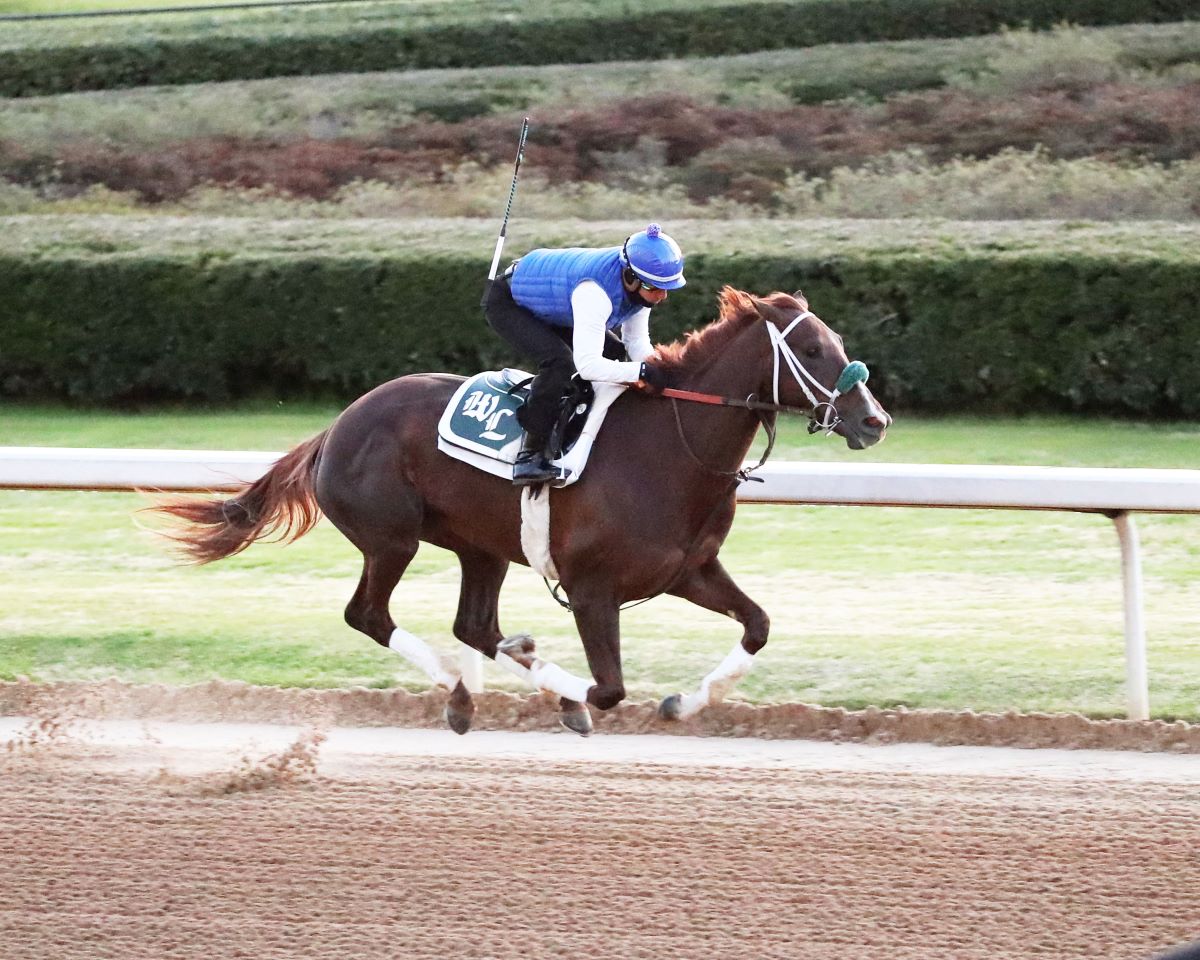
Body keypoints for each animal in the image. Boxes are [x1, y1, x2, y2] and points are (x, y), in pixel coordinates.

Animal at [154, 285, 892, 734]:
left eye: (836, 341)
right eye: (810, 349)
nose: (874, 420)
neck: (669, 449)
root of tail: (335, 426)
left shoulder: (689, 571)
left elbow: (758, 626)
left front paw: (681, 702)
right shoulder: (593, 588)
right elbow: (607, 689)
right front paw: (572, 699)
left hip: (480, 546)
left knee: (474, 624)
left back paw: (488, 670)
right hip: (391, 539)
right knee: (369, 615)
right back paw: (458, 691)